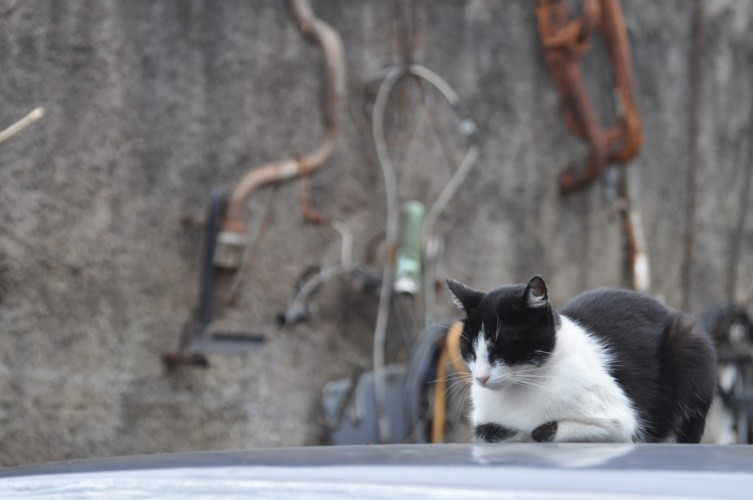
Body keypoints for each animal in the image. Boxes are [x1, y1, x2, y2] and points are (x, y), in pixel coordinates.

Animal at [446, 276, 716, 444]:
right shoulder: (484, 422)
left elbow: (543, 430)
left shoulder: (622, 421)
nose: (481, 378)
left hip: (689, 342)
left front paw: (530, 432)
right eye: (469, 348)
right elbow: (488, 431)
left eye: (502, 345)